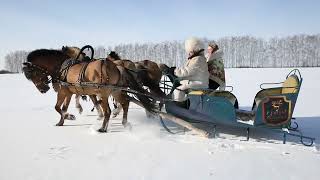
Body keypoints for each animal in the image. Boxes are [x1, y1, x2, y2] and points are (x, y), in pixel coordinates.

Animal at [22, 48, 155, 132]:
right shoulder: (69, 92)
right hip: (115, 91)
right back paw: (125, 123)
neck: (61, 67)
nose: (43, 89)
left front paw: (70, 116)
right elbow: (63, 108)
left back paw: (103, 128)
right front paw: (62, 121)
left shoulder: (63, 91)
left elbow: (57, 107)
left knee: (108, 111)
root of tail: (117, 66)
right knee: (125, 103)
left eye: (32, 73)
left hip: (104, 93)